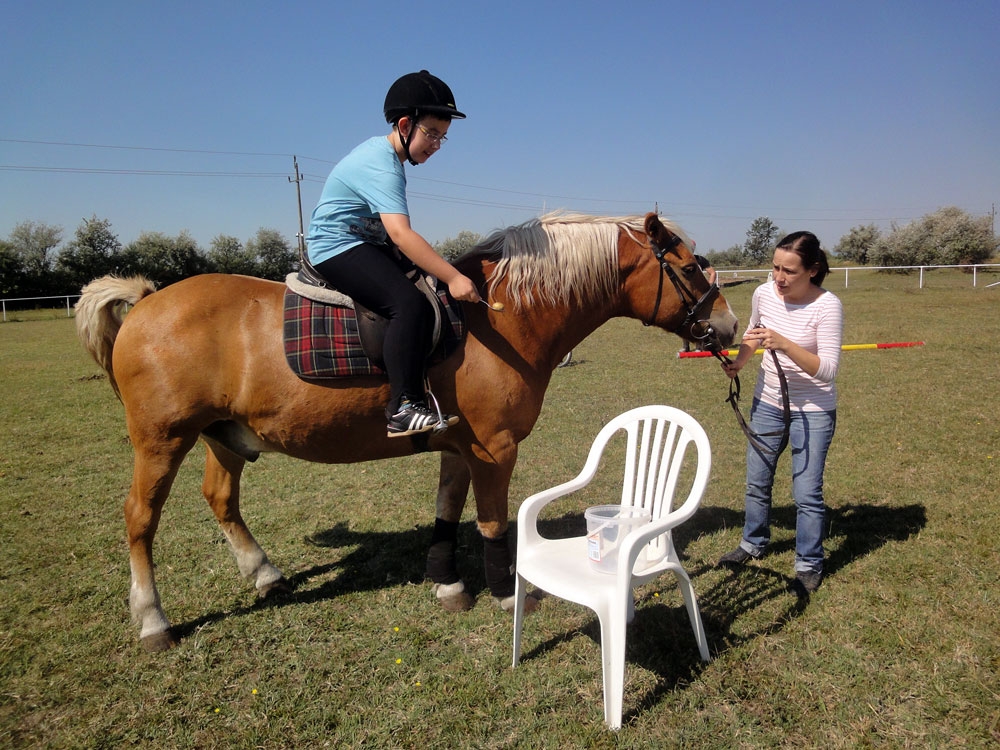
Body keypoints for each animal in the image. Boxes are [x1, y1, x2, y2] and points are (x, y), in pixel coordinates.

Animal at [76, 210, 736, 652]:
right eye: (687, 265)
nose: (729, 327)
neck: (498, 318)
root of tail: (146, 301)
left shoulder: (460, 447)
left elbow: (447, 510)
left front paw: (448, 585)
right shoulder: (495, 449)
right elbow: (492, 522)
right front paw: (505, 591)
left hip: (225, 435)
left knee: (221, 498)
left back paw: (264, 574)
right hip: (162, 441)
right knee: (140, 519)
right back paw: (154, 619)